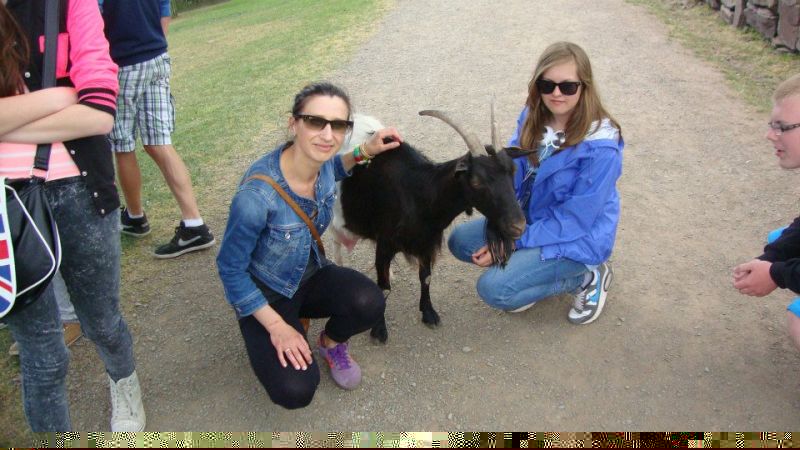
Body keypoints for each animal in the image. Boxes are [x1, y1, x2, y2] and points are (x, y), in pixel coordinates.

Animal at [334, 106, 533, 343]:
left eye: (513, 171)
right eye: (476, 181)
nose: (518, 226)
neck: (417, 193)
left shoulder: (426, 243)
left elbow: (426, 277)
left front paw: (429, 313)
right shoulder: (385, 243)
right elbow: (382, 288)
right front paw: (379, 330)